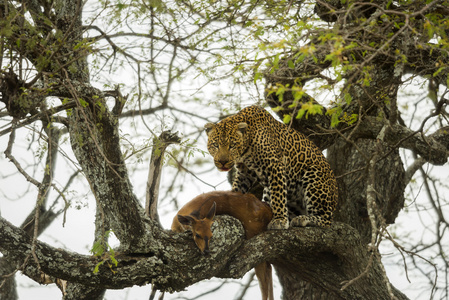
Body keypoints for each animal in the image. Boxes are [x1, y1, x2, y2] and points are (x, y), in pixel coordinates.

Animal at [203, 105, 336, 230]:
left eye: (232, 145)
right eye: (215, 145)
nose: (223, 162)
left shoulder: (274, 165)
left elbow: (278, 195)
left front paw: (279, 220)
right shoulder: (244, 172)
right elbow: (237, 190)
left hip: (314, 175)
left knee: (326, 220)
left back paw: (303, 219)